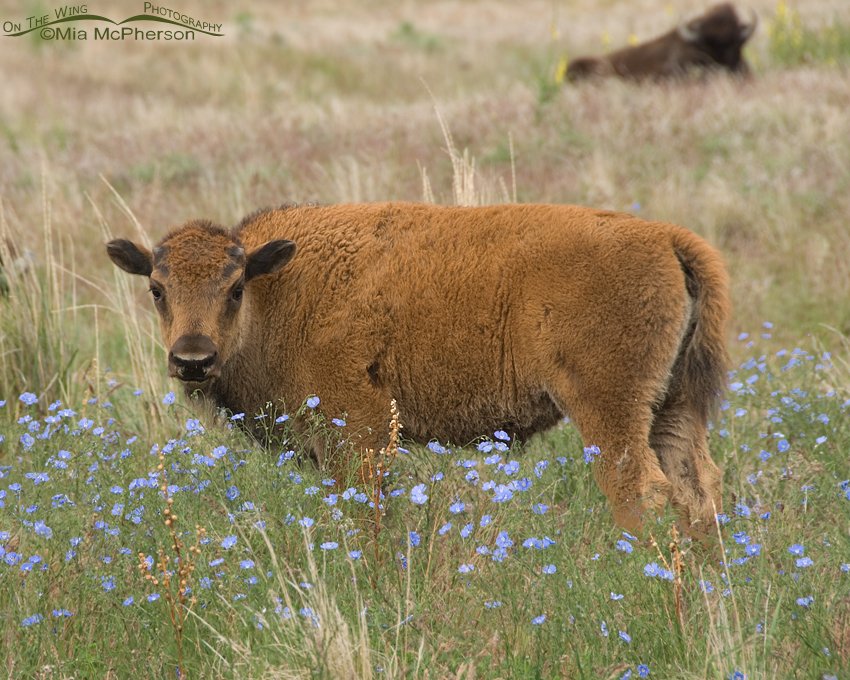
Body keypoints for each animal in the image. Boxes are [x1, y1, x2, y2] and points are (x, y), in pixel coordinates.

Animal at [107, 202, 730, 536]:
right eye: (156, 289)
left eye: (234, 289)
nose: (192, 359)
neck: (279, 288)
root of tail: (665, 237)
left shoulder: (358, 433)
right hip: (672, 406)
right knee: (698, 489)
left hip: (609, 408)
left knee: (640, 491)